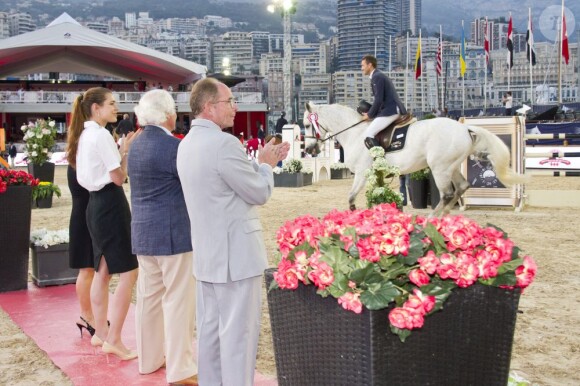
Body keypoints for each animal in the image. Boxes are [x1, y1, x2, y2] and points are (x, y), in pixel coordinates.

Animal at [304, 102, 532, 216]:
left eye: (307, 125)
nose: (309, 149)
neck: (355, 133)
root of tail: (464, 128)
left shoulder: (361, 173)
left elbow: (351, 198)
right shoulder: (376, 174)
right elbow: (376, 197)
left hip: (440, 168)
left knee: (448, 193)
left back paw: (431, 220)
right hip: (451, 167)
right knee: (462, 187)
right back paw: (443, 217)